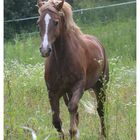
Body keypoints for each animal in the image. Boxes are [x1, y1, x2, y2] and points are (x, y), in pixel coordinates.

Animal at [36, 0, 109, 138]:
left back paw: (103, 135)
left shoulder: (78, 87)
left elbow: (72, 110)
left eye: (56, 22)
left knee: (100, 110)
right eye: (38, 22)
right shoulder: (53, 92)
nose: (45, 50)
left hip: (100, 86)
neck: (61, 60)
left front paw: (74, 132)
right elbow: (57, 121)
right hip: (67, 93)